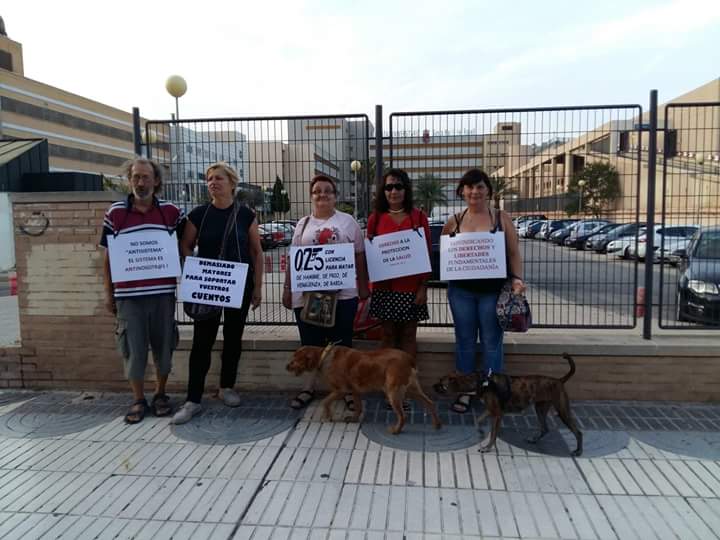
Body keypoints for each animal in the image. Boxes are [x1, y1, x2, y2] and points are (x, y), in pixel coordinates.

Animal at [286, 346, 442, 434]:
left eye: (295, 360)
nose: (286, 367)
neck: (324, 356)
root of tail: (409, 358)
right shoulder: (354, 391)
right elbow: (358, 407)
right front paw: (354, 419)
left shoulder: (341, 390)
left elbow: (325, 401)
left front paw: (328, 416)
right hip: (411, 389)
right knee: (430, 403)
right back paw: (437, 425)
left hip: (393, 391)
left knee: (403, 416)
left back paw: (396, 430)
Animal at [436, 354, 584, 456]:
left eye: (442, 385)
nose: (433, 386)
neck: (480, 382)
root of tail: (559, 380)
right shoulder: (491, 409)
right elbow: (478, 419)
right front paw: (480, 431)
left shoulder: (497, 414)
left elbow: (493, 434)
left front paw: (487, 447)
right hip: (540, 408)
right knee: (545, 428)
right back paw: (534, 439)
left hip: (562, 410)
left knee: (578, 432)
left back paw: (578, 451)